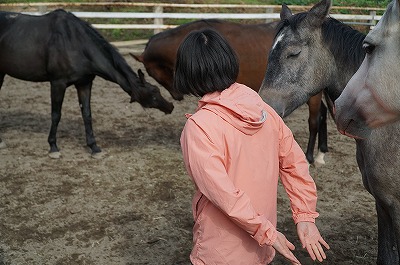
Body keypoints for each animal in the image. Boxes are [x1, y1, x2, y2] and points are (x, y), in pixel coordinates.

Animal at [0, 9, 173, 158]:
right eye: (154, 93)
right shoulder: (57, 83)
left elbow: (87, 114)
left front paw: (94, 147)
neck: (74, 43)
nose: (170, 107)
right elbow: (56, 114)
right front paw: (53, 147)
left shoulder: (84, 84)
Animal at [131, 18, 328, 163]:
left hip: (314, 95)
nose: (176, 96)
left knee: (314, 120)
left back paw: (310, 156)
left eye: (151, 73)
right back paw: (321, 152)